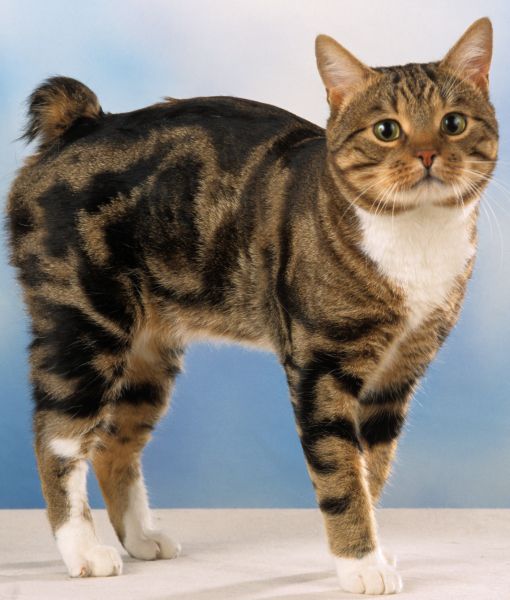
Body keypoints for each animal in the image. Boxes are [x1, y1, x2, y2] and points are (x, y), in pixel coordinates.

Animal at [4, 16, 498, 592]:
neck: (414, 240)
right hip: (86, 324)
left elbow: (370, 471)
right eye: (387, 130)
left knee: (112, 442)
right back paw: (83, 551)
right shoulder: (321, 368)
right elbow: (340, 474)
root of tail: (81, 122)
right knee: (57, 438)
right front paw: (360, 565)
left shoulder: (395, 377)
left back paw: (142, 537)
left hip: (148, 352)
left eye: (454, 123)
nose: (426, 154)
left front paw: (366, 553)